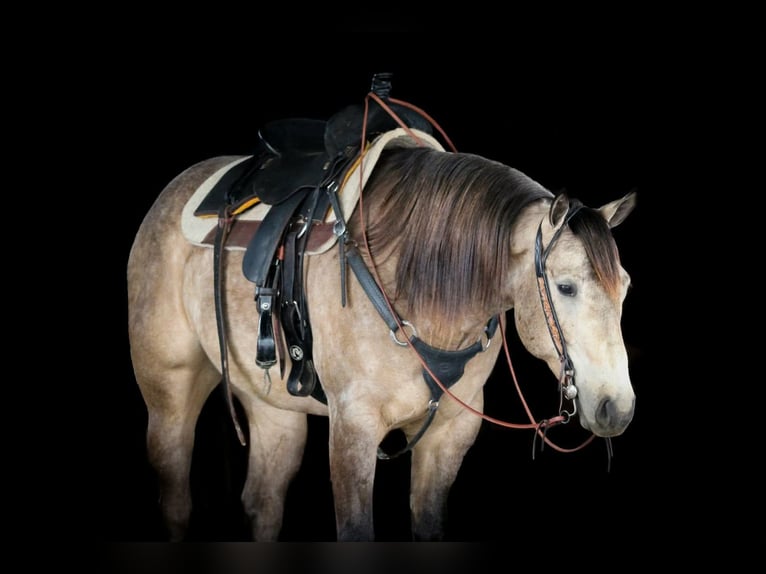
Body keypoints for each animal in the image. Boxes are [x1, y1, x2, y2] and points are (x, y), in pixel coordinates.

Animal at [127, 82, 637, 542]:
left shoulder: (452, 432)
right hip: (169, 393)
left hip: (273, 407)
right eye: (565, 287)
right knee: (175, 498)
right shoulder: (353, 429)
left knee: (262, 502)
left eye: (626, 288)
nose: (617, 407)